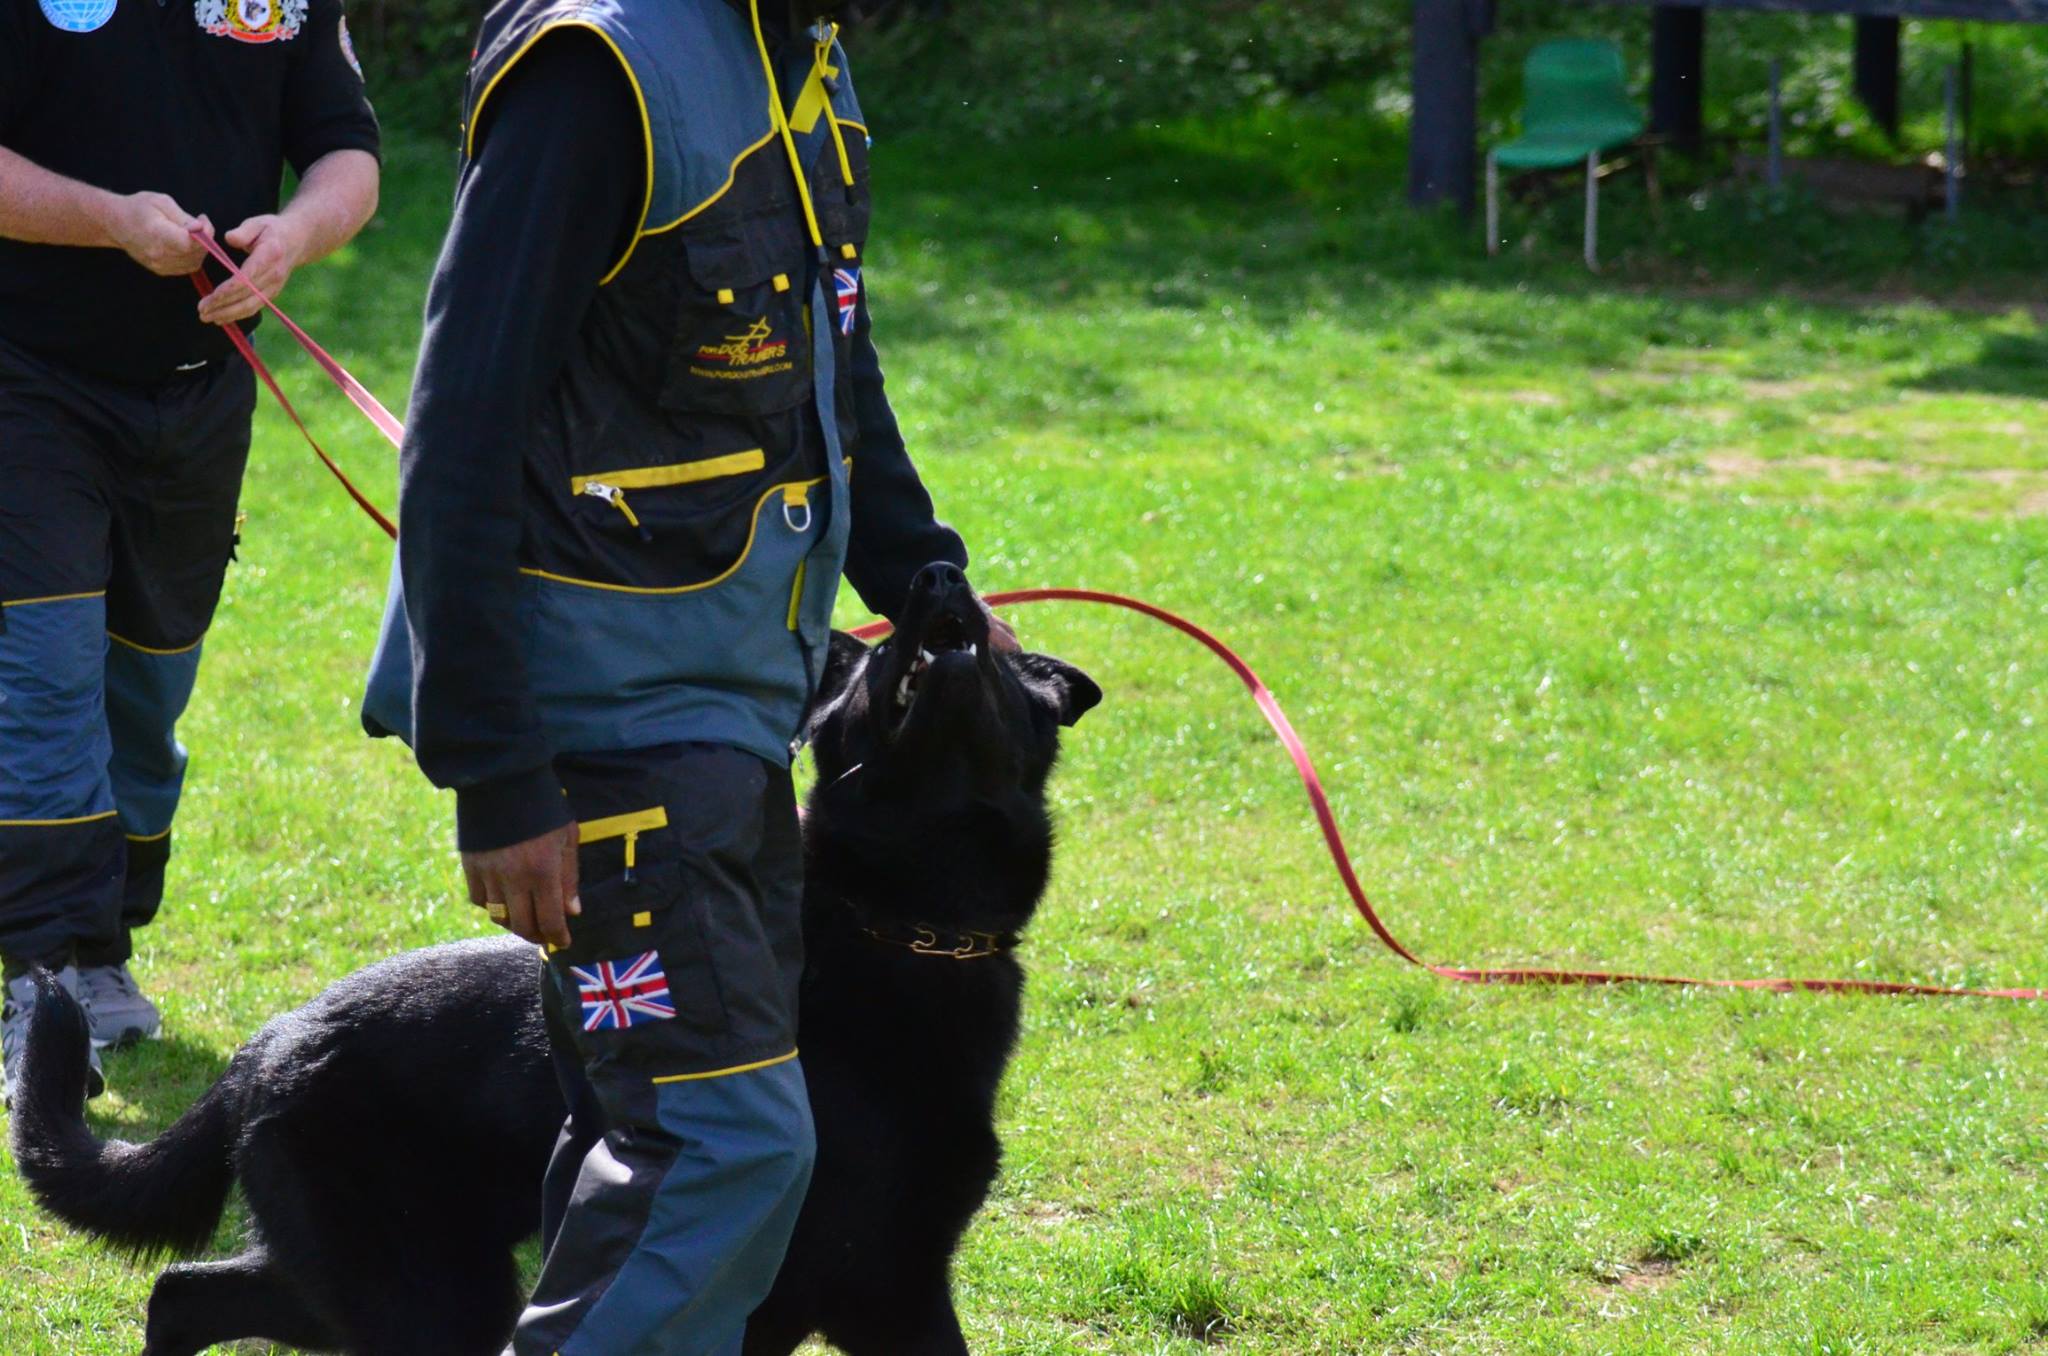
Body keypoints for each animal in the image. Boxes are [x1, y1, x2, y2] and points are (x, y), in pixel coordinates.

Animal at [8, 569, 1097, 1351]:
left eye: (997, 661)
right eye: (876, 674)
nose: (934, 574)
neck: (904, 924)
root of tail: (264, 1045)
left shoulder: (897, 1286)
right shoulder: (804, 1294)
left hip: (390, 1281)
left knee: (180, 1294)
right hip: (428, 1298)